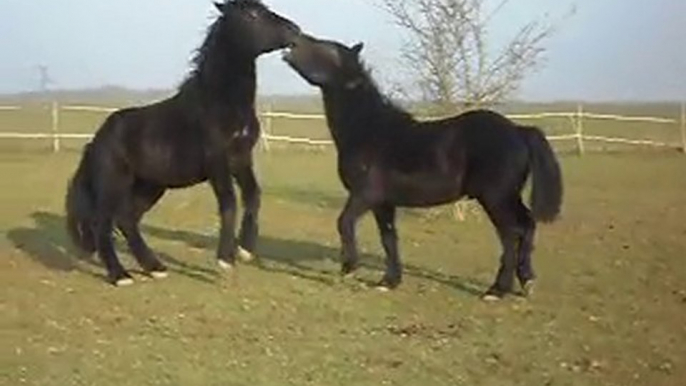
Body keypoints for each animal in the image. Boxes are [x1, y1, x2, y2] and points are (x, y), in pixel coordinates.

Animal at [66, 0, 300, 284]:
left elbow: (253, 196)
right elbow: (229, 203)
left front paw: (245, 250)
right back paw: (120, 275)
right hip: (114, 183)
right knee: (103, 225)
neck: (220, 103)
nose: (294, 31)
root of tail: (96, 141)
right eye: (252, 15)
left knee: (127, 219)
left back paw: (155, 268)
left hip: (150, 186)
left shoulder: (241, 159)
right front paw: (225, 261)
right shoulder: (217, 164)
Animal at [284, 36, 564, 300]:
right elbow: (389, 238)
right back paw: (525, 282)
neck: (368, 129)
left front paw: (350, 267)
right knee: (525, 226)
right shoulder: (383, 203)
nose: (293, 41)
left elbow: (344, 222)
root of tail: (518, 130)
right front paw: (388, 282)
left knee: (512, 234)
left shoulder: (365, 195)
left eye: (327, 49)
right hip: (506, 197)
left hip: (496, 197)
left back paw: (497, 290)